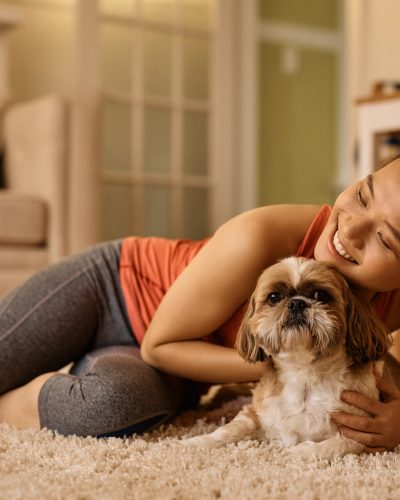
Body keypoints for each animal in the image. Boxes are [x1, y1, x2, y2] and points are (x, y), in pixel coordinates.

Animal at [183, 258, 392, 460]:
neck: (304, 376)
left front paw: (296, 452)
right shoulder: (255, 413)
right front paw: (196, 442)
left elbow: (334, 445)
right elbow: (229, 430)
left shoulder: (361, 431)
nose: (297, 303)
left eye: (321, 295)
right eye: (274, 297)